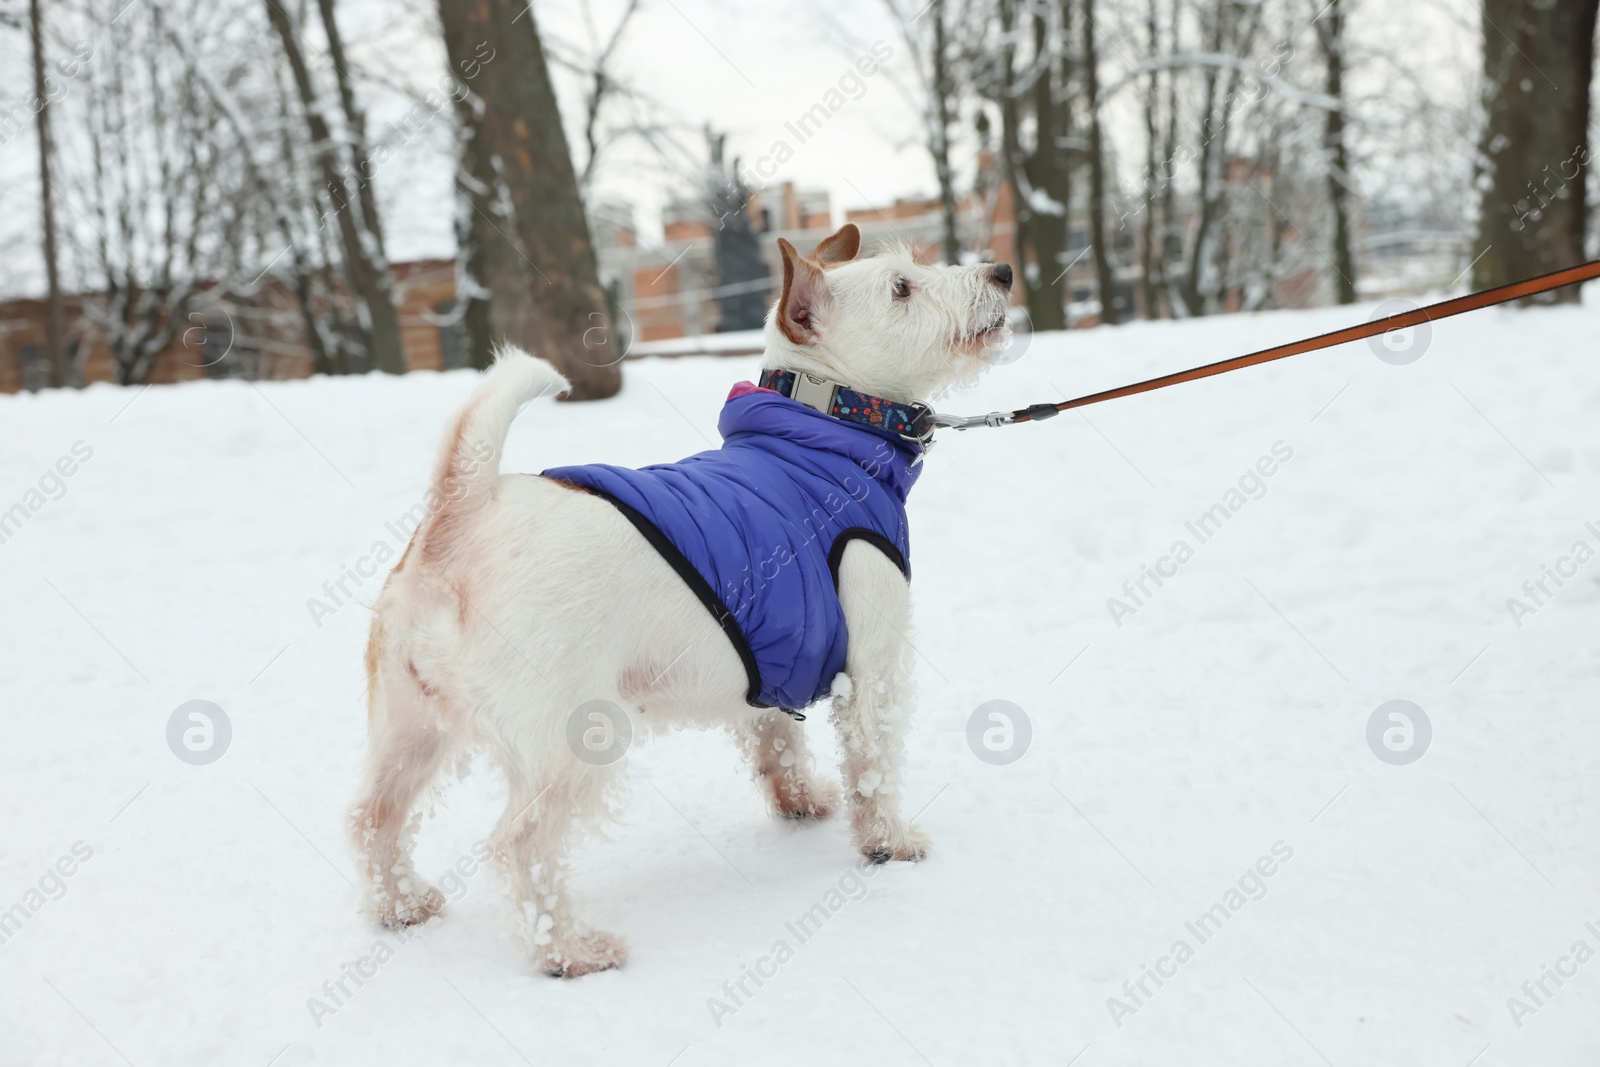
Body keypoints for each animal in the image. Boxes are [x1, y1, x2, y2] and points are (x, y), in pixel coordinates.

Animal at [350, 225, 1011, 979]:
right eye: (902, 288)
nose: (1002, 271)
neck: (823, 435)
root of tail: (464, 515)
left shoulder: (773, 648)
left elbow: (778, 742)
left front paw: (801, 801)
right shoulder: (873, 666)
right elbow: (873, 765)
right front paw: (888, 842)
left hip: (409, 730)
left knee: (372, 817)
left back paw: (401, 904)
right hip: (571, 745)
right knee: (521, 843)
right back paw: (569, 950)